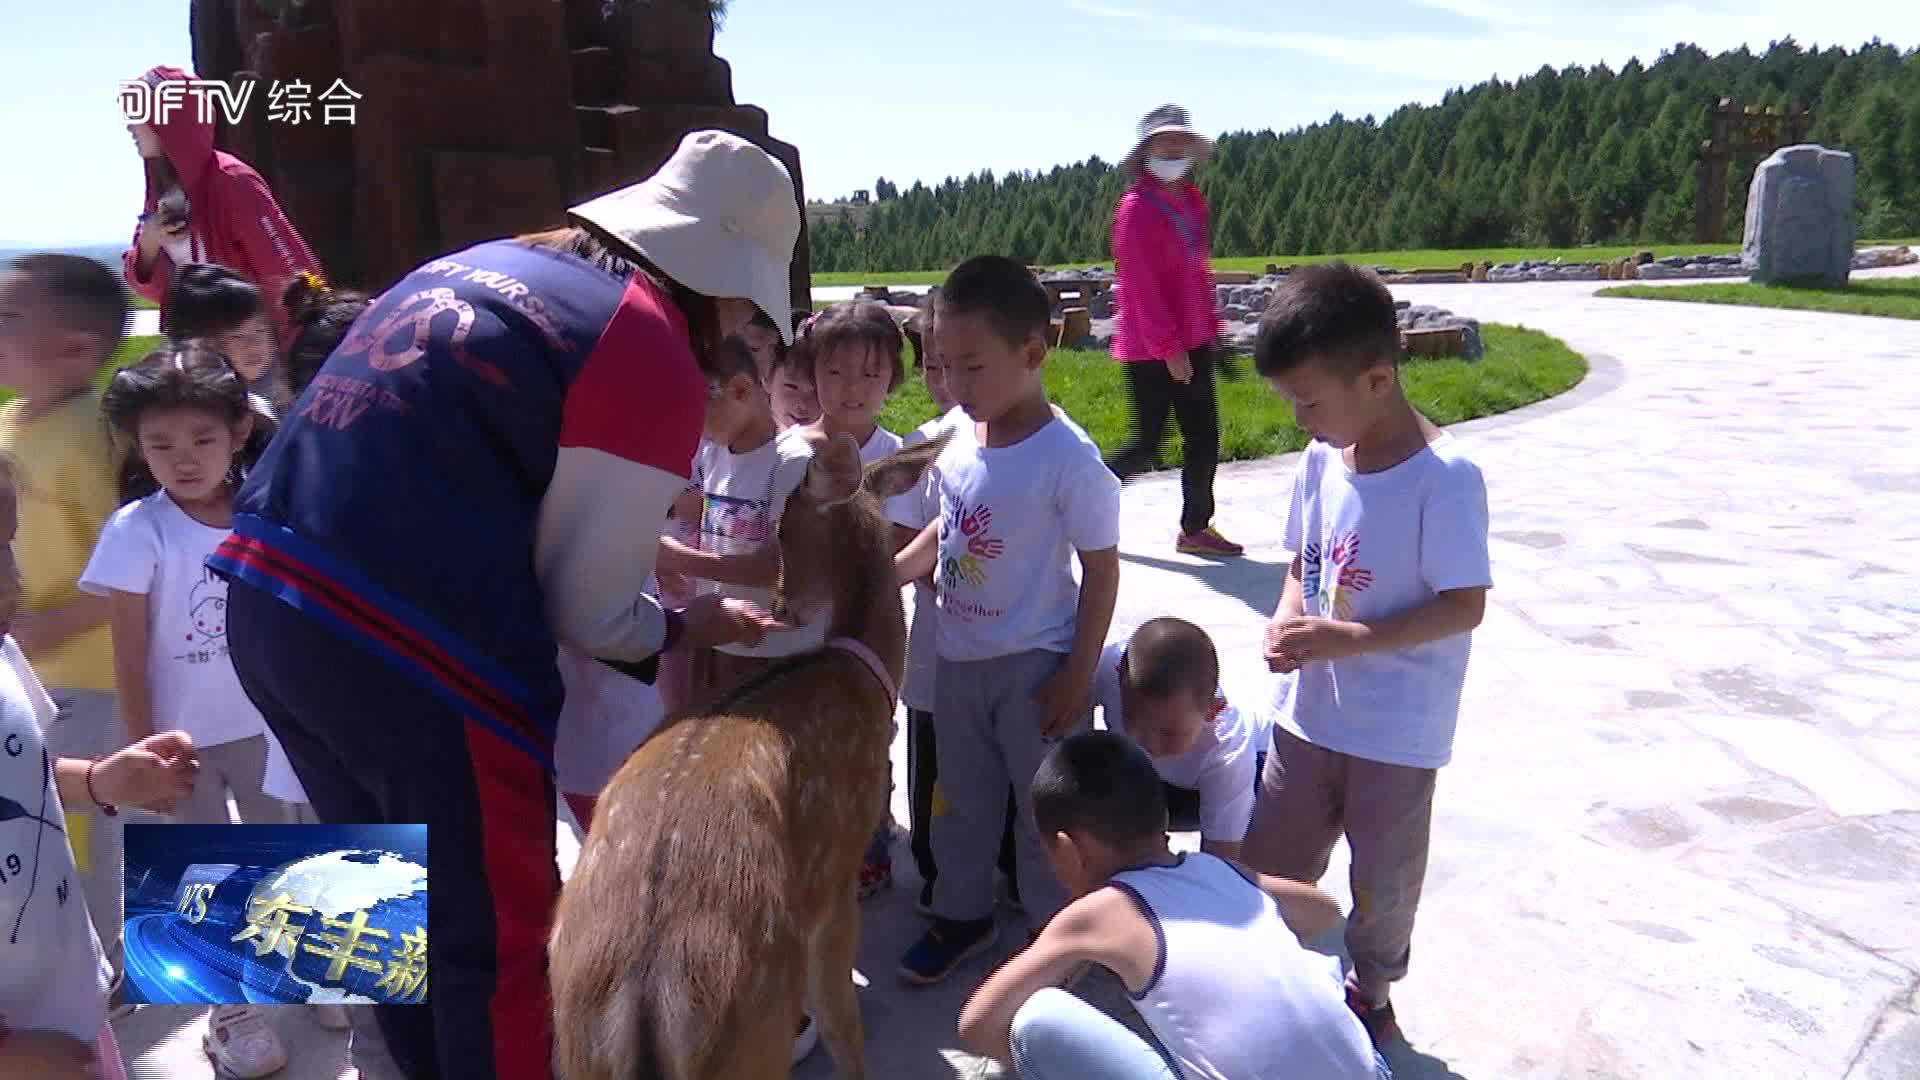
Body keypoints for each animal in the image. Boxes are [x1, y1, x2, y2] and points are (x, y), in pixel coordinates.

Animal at [552, 428, 948, 1076]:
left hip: (579, 1045)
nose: (782, 603)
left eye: (784, 527)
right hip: (755, 1022)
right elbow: (843, 1022)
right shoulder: (836, 877)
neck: (864, 670)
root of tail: (643, 993)